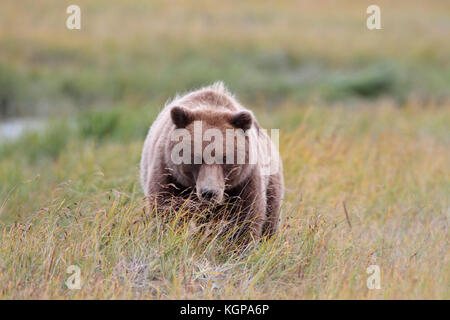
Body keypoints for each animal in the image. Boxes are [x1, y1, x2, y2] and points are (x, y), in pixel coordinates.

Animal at [139, 82, 284, 240]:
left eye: (225, 158)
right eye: (195, 157)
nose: (209, 192)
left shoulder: (244, 181)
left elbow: (245, 220)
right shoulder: (169, 174)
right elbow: (167, 211)